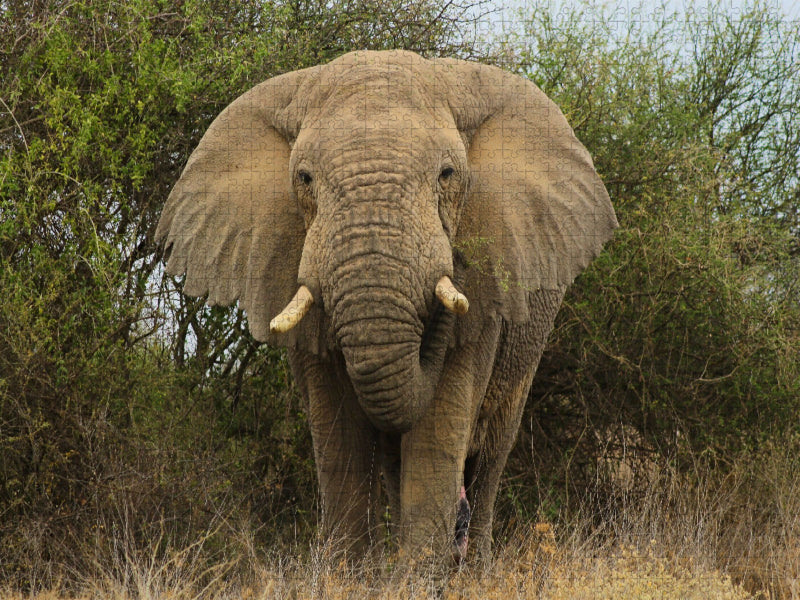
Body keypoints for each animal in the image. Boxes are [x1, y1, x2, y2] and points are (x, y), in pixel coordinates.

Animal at [155, 50, 617, 563]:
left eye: (447, 175)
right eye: (304, 179)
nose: (453, 262)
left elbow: (438, 428)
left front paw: (416, 575)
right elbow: (338, 435)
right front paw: (348, 573)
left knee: (490, 453)